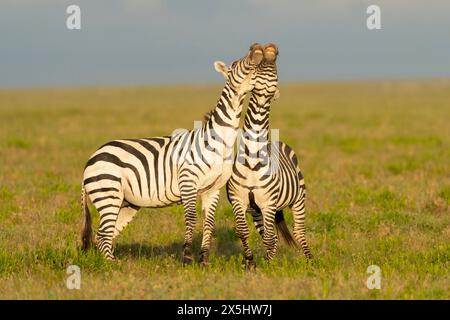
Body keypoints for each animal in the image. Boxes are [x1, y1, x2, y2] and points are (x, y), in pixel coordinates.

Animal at [81, 45, 266, 264]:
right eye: (237, 64)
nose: (256, 49)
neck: (218, 142)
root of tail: (93, 156)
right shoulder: (188, 182)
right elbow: (191, 218)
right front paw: (187, 258)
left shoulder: (213, 189)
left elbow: (209, 223)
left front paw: (204, 260)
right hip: (108, 193)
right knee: (103, 234)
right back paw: (112, 266)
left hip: (125, 202)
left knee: (104, 235)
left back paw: (111, 263)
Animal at [225, 43, 312, 268]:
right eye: (257, 70)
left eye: (276, 72)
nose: (267, 48)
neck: (252, 159)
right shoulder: (239, 201)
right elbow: (243, 232)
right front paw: (250, 264)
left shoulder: (268, 203)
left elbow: (270, 238)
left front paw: (267, 266)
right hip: (257, 211)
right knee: (267, 232)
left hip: (298, 199)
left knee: (299, 232)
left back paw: (310, 260)